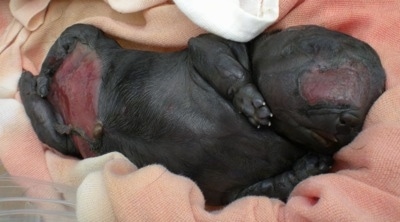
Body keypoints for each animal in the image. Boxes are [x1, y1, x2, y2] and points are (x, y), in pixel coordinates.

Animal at [18, 23, 384, 205]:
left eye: (379, 92)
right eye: (313, 45)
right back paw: (34, 78)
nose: (349, 114)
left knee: (55, 134)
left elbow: (261, 190)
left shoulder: (230, 192)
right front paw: (253, 103)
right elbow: (211, 50)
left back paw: (34, 85)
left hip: (71, 145)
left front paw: (314, 165)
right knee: (67, 42)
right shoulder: (219, 46)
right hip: (89, 37)